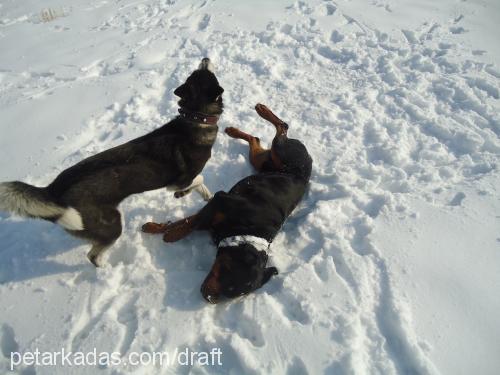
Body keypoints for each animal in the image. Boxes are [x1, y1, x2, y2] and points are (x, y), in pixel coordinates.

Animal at [0, 58, 223, 268]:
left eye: (195, 73)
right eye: (206, 74)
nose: (205, 58)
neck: (196, 118)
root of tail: (52, 190)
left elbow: (201, 186)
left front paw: (205, 196)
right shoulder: (179, 180)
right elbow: (198, 178)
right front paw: (185, 194)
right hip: (112, 225)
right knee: (93, 255)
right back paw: (106, 269)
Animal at [142, 104, 312, 304]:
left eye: (236, 294)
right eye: (229, 280)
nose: (210, 299)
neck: (245, 232)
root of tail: (305, 172)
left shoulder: (213, 211)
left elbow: (186, 221)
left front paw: (156, 228)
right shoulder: (220, 200)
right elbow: (187, 224)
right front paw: (168, 234)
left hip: (261, 161)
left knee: (256, 139)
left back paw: (235, 130)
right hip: (282, 154)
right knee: (282, 128)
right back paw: (260, 110)